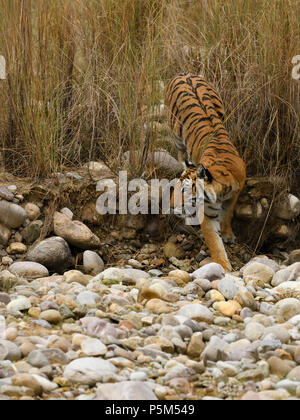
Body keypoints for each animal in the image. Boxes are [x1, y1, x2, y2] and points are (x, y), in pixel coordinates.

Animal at [166, 73, 246, 270]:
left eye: (185, 191)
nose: (170, 207)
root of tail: (183, 73)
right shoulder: (208, 214)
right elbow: (214, 242)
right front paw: (222, 266)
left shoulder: (236, 193)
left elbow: (228, 214)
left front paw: (228, 235)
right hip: (176, 135)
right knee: (180, 153)